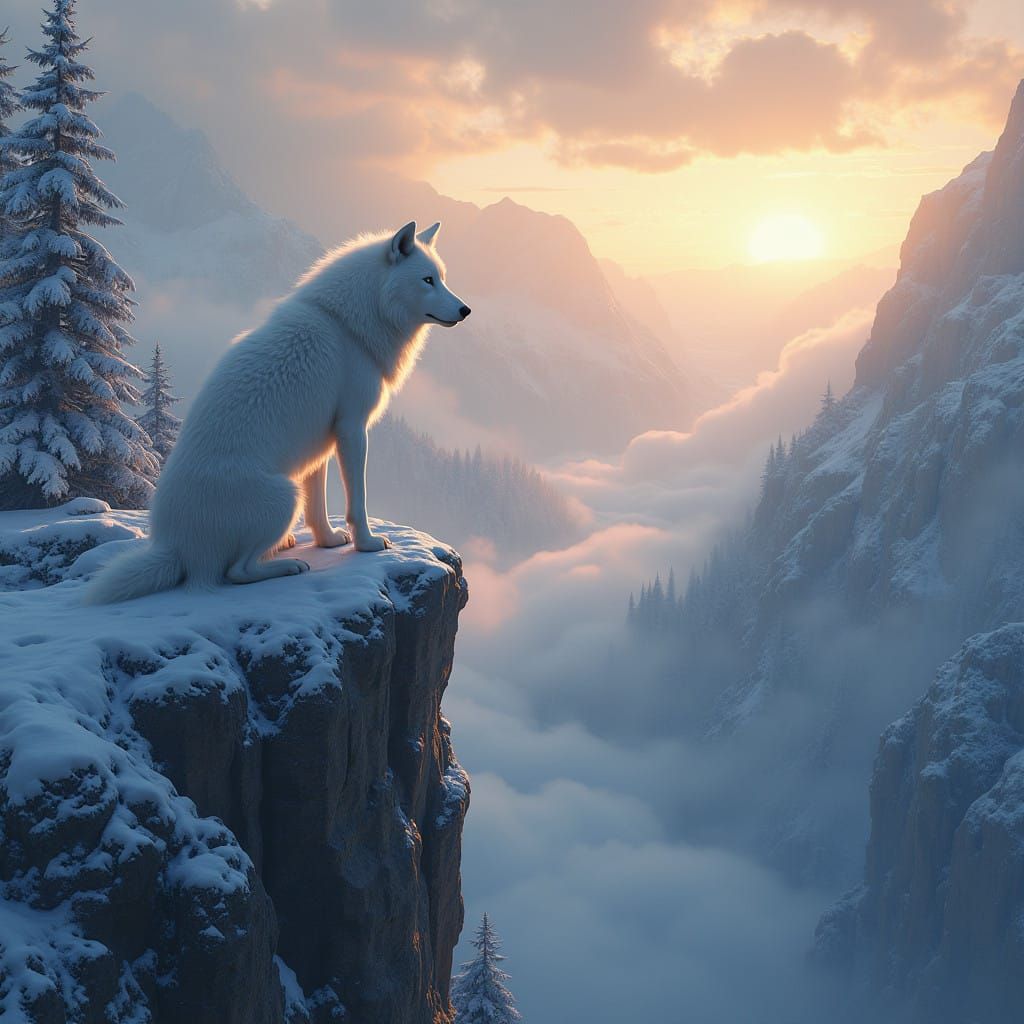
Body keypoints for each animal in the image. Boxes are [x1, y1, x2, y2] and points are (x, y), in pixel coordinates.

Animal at [86, 220, 470, 603]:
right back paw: (288, 564)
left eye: (443, 278)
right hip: (285, 496)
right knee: (236, 572)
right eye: (427, 280)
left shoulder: (323, 441)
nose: (465, 310)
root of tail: (178, 548)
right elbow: (357, 501)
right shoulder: (352, 430)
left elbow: (319, 508)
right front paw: (367, 543)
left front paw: (329, 541)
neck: (346, 325)